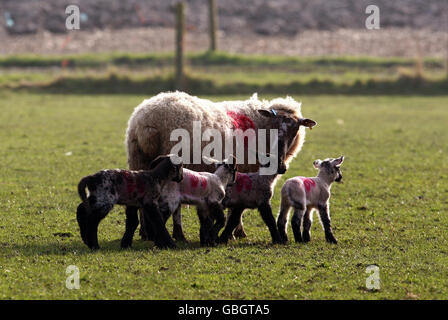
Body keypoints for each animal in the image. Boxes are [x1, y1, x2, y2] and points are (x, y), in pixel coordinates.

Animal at [124, 91, 316, 239]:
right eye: (275, 126)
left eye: (296, 129)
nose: (281, 165)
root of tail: (147, 124)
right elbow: (237, 207)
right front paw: (236, 232)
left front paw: (235, 232)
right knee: (175, 205)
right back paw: (178, 234)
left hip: (139, 160)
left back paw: (146, 233)